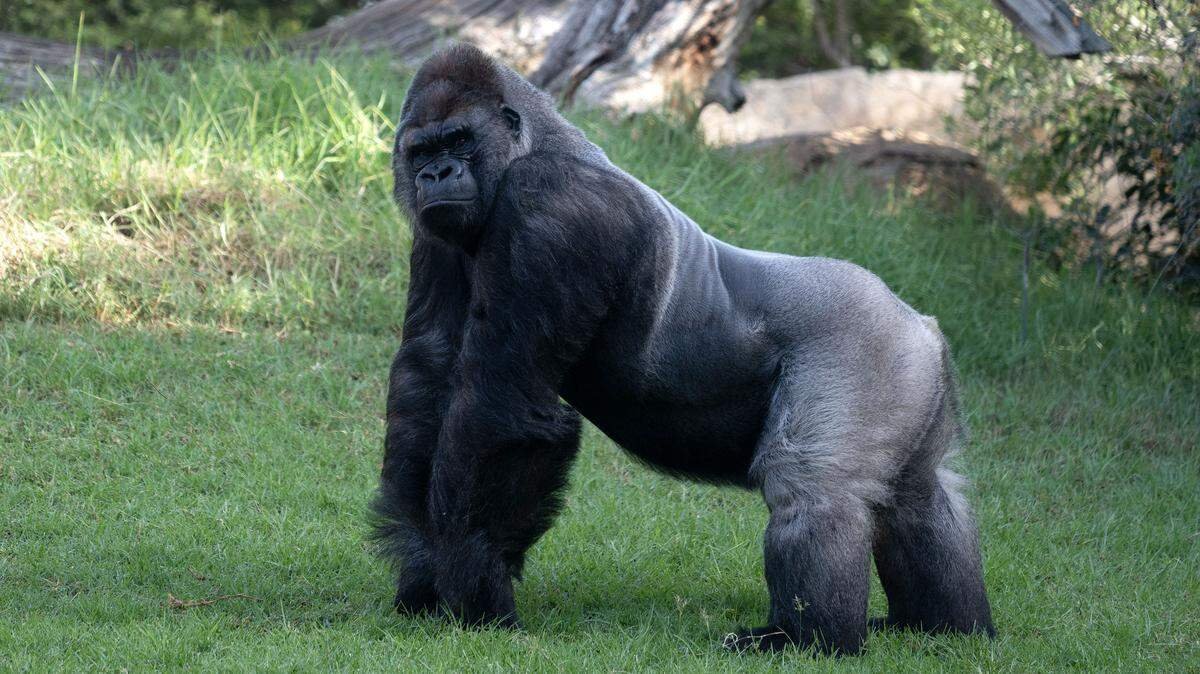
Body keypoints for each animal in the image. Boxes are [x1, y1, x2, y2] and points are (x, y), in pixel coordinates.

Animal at [371, 43, 995, 656]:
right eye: (422, 149)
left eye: (460, 141)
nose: (436, 172)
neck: (536, 143)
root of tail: (920, 324)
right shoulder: (438, 231)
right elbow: (428, 376)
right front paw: (421, 568)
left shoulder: (550, 202)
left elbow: (502, 407)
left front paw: (472, 584)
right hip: (910, 370)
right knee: (920, 496)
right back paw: (941, 628)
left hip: (865, 344)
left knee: (815, 489)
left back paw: (808, 639)